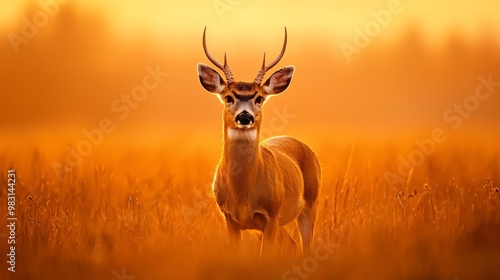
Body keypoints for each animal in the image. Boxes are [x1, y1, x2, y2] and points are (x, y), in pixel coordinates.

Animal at [195, 27, 320, 258]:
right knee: (293, 244)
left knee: (305, 246)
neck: (243, 194)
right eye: (228, 97)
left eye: (259, 98)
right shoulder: (230, 219)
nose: (245, 116)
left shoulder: (271, 217)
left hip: (310, 204)